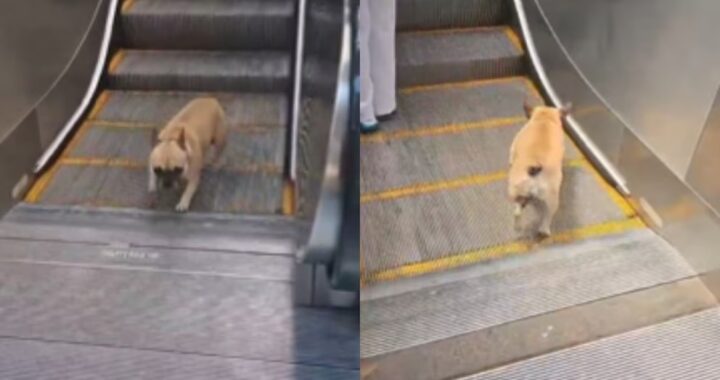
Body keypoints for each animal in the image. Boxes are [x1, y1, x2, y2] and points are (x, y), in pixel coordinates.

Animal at [510, 101, 572, 238]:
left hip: (517, 190)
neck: (544, 120)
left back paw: (520, 227)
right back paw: (543, 230)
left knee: (518, 211)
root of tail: (533, 170)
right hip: (551, 198)